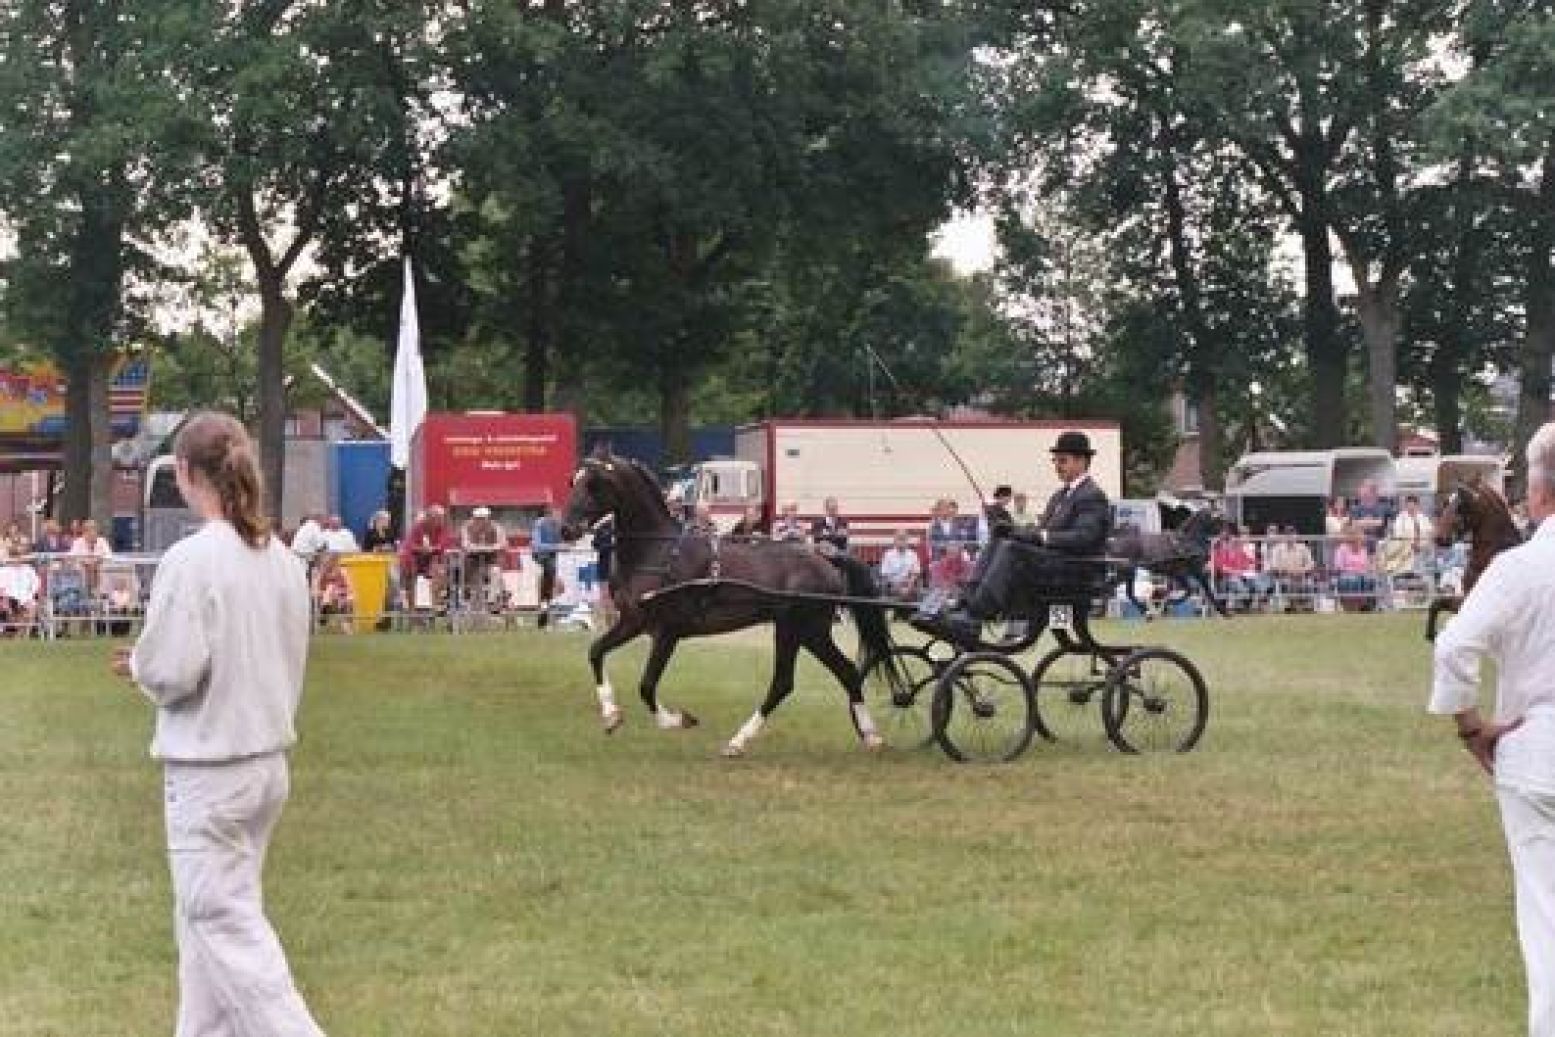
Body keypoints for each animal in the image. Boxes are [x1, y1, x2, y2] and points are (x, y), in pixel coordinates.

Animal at [562, 450, 908, 758]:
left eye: (595, 483)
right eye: (573, 480)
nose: (566, 529)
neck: (658, 553)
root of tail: (826, 558)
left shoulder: (667, 632)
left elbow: (646, 686)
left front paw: (679, 720)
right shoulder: (633, 622)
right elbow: (595, 652)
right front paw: (611, 715)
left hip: (794, 628)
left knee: (783, 682)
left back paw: (738, 741)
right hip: (812, 632)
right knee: (845, 672)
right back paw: (871, 736)